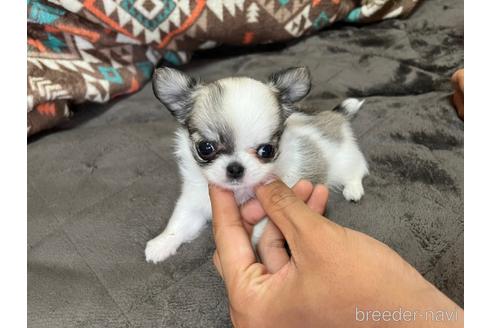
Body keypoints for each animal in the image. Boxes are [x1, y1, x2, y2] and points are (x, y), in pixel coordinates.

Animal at [146, 66, 368, 264]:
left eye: (266, 150)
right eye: (205, 148)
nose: (235, 168)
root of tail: (335, 116)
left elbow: (259, 230)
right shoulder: (194, 200)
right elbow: (180, 222)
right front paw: (161, 244)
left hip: (345, 159)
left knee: (357, 170)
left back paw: (353, 190)